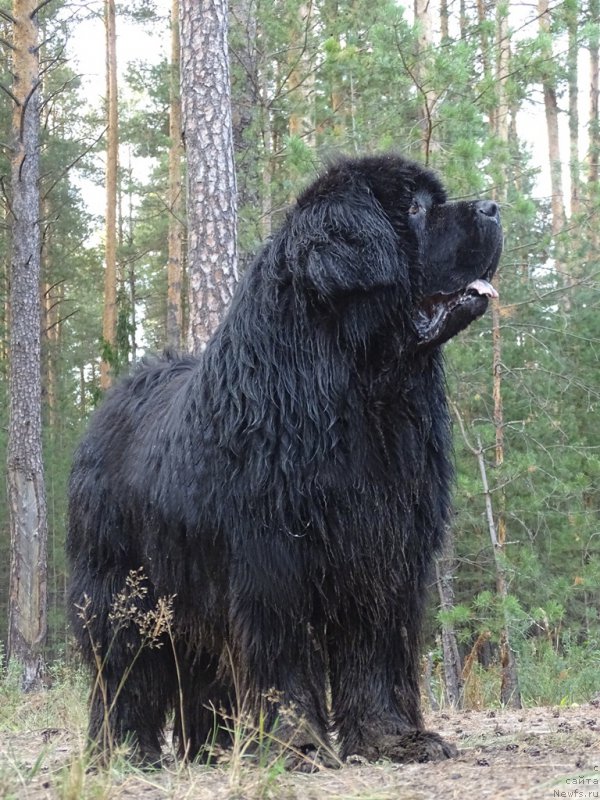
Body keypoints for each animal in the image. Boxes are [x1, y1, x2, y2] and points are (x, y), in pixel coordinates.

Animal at [67, 152, 502, 768]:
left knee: (201, 672)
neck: (357, 395)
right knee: (126, 672)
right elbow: (284, 660)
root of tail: (108, 404)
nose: (492, 206)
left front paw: (394, 738)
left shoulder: (383, 556)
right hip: (122, 592)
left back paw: (214, 750)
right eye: (417, 209)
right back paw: (126, 751)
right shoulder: (270, 561)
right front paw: (296, 744)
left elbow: (376, 656)